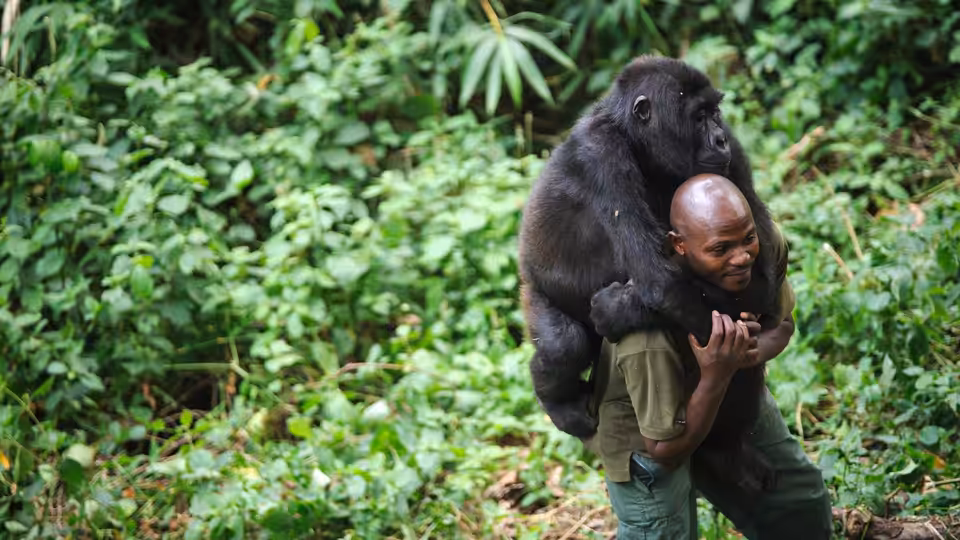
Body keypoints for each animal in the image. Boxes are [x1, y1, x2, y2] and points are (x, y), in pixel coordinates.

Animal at [517, 55, 783, 492]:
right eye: (698, 117)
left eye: (715, 113)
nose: (719, 140)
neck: (637, 141)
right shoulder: (600, 156)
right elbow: (663, 282)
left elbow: (761, 275)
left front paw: (617, 309)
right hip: (535, 290)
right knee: (563, 342)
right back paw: (557, 401)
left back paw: (725, 450)